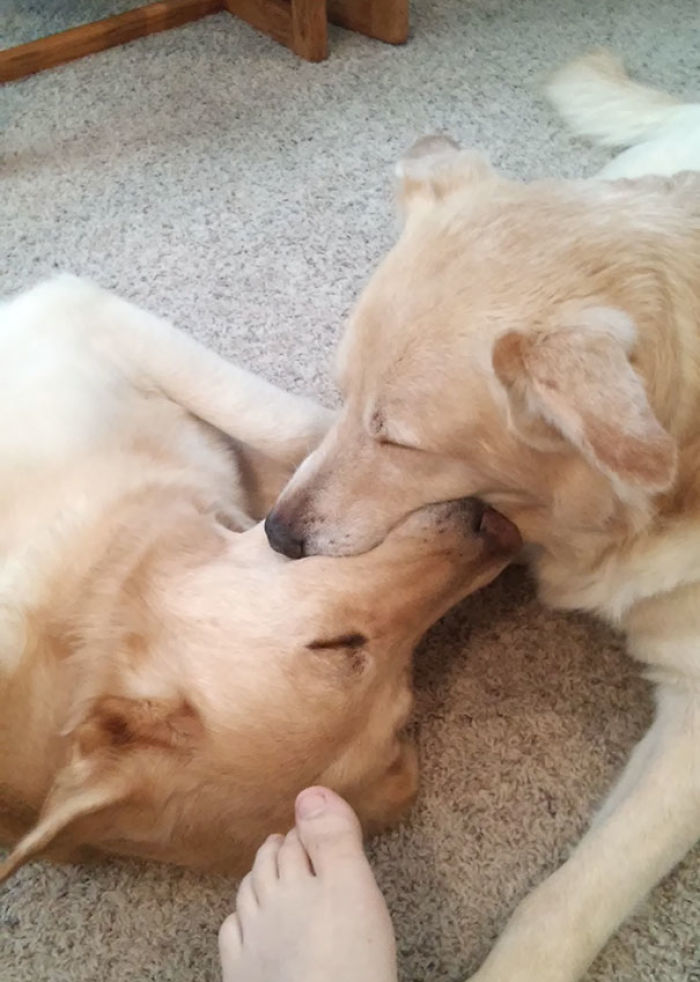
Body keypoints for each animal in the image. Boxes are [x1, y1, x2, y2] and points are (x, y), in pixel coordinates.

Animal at [0, 274, 520, 884]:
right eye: (341, 646)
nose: (501, 534)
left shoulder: (81, 315)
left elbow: (300, 434)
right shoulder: (80, 313)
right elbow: (306, 438)